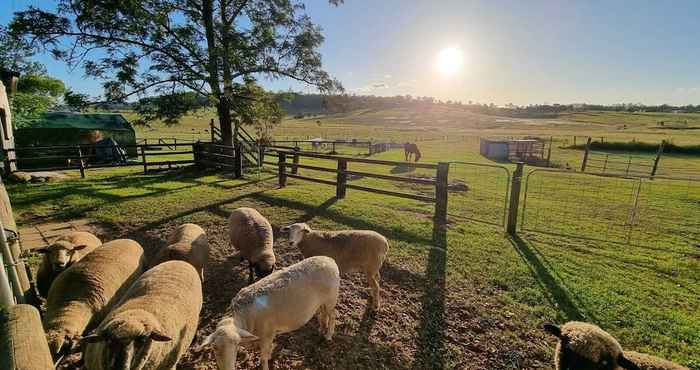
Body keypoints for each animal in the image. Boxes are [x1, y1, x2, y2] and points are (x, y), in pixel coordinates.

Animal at [198, 256, 340, 370]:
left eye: (236, 345)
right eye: (214, 348)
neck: (243, 317)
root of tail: (330, 260)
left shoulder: (267, 334)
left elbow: (263, 357)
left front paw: (266, 364)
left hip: (331, 299)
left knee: (332, 316)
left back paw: (328, 335)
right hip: (322, 302)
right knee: (323, 314)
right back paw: (322, 329)